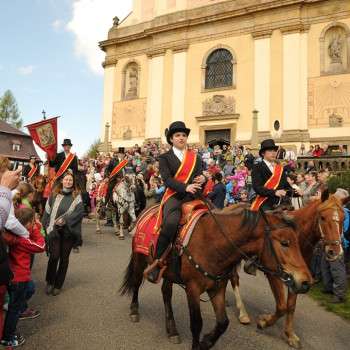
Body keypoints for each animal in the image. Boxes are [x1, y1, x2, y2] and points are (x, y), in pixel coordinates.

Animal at [120, 206, 312, 348]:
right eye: (284, 243)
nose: (305, 281)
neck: (212, 244)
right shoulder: (193, 289)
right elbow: (196, 324)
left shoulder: (217, 288)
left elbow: (222, 323)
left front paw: (206, 342)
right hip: (139, 259)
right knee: (136, 282)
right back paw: (134, 311)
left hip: (168, 273)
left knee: (166, 293)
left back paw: (172, 330)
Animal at [227, 193, 348, 348]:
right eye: (322, 217)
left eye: (343, 218)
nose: (335, 252)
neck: (297, 237)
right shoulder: (274, 274)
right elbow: (281, 306)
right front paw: (264, 322)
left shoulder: (298, 279)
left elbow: (290, 306)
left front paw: (290, 334)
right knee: (233, 278)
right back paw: (242, 313)